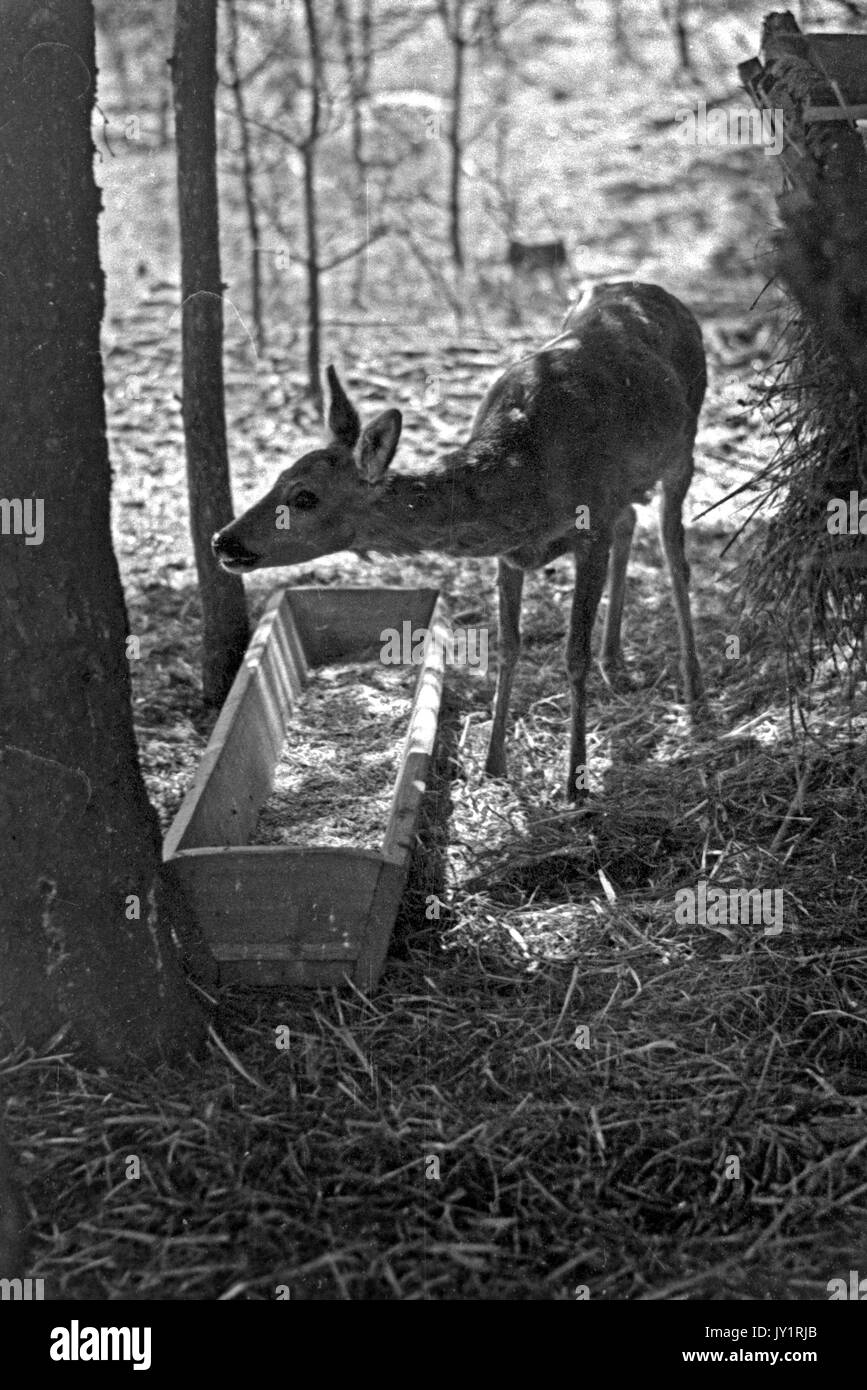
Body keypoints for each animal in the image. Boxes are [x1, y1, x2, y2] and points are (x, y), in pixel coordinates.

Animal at [212, 280, 707, 801]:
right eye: (279, 475)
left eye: (304, 496)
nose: (223, 540)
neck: (528, 477)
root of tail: (654, 290)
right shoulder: (513, 552)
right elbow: (508, 645)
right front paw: (493, 763)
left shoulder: (591, 526)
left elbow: (574, 654)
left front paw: (575, 783)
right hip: (630, 485)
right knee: (631, 521)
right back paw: (616, 660)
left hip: (684, 446)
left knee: (674, 552)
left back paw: (695, 691)